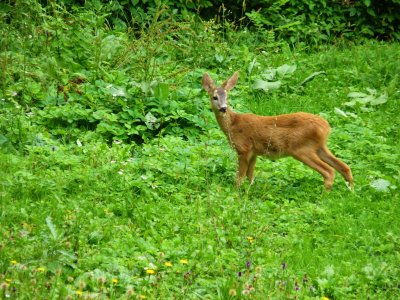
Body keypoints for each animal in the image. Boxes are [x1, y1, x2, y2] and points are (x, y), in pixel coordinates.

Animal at [203, 71, 354, 191]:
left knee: (329, 171)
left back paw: (323, 196)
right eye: (214, 97)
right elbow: (250, 176)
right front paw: (248, 192)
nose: (223, 108)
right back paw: (351, 192)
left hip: (301, 149)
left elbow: (240, 176)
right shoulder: (254, 152)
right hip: (319, 147)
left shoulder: (243, 149)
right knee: (344, 166)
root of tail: (326, 127)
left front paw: (236, 193)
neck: (233, 124)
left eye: (227, 97)